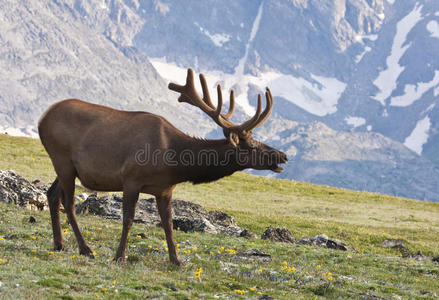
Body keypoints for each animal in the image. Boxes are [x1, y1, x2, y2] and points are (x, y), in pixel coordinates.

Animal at [38, 68, 288, 264]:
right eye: (252, 146)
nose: (283, 156)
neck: (175, 162)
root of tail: (43, 118)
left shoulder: (165, 189)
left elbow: (168, 223)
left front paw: (176, 260)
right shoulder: (131, 179)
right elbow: (128, 219)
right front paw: (120, 256)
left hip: (65, 167)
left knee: (52, 194)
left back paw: (60, 244)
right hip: (63, 160)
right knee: (69, 203)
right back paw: (85, 249)